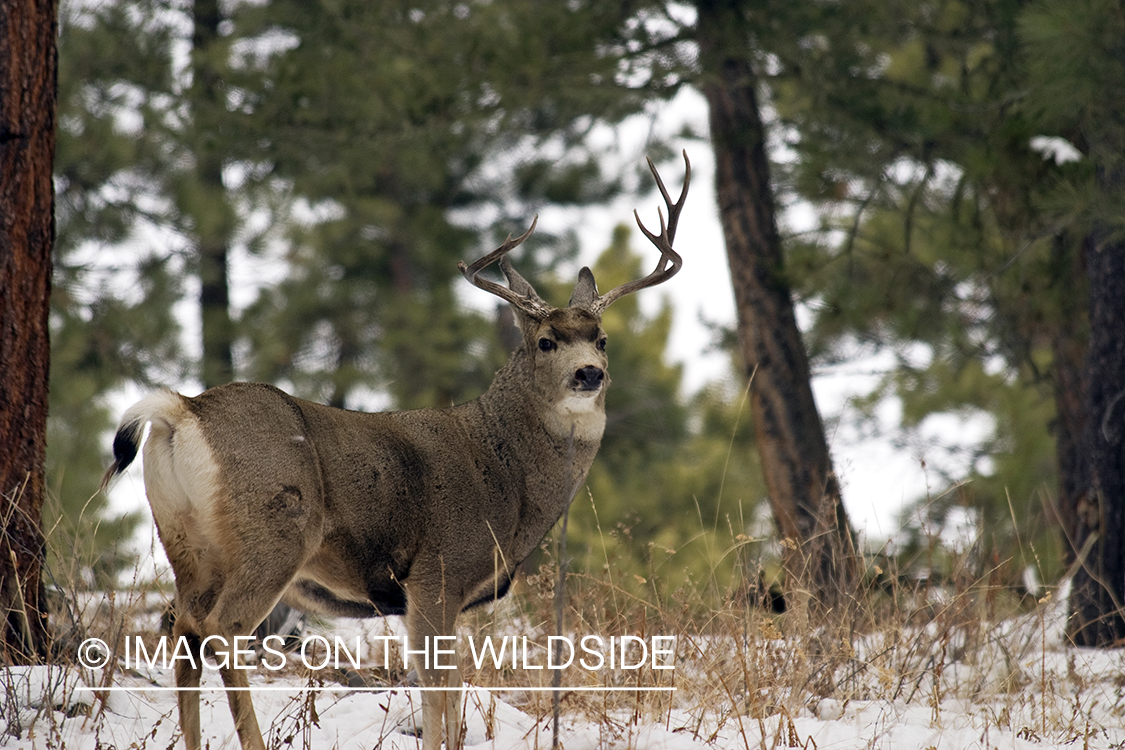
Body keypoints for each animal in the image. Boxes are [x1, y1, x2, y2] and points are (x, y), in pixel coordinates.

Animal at [100, 153, 689, 750]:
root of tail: (183, 410)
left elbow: (451, 691)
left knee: (183, 630)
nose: (589, 373)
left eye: (603, 340)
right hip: (273, 530)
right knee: (222, 629)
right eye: (545, 342)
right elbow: (437, 692)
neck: (507, 478)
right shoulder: (437, 573)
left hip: (184, 541)